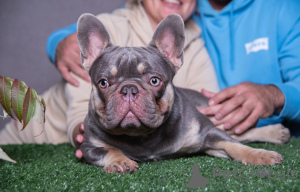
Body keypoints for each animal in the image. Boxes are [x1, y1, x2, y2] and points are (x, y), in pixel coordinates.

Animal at [77, 12, 288, 173]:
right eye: (103, 83)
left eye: (154, 80)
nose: (129, 88)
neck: (143, 136)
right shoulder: (88, 148)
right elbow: (108, 149)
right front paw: (119, 160)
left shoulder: (208, 133)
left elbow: (234, 145)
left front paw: (259, 154)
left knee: (238, 133)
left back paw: (275, 133)